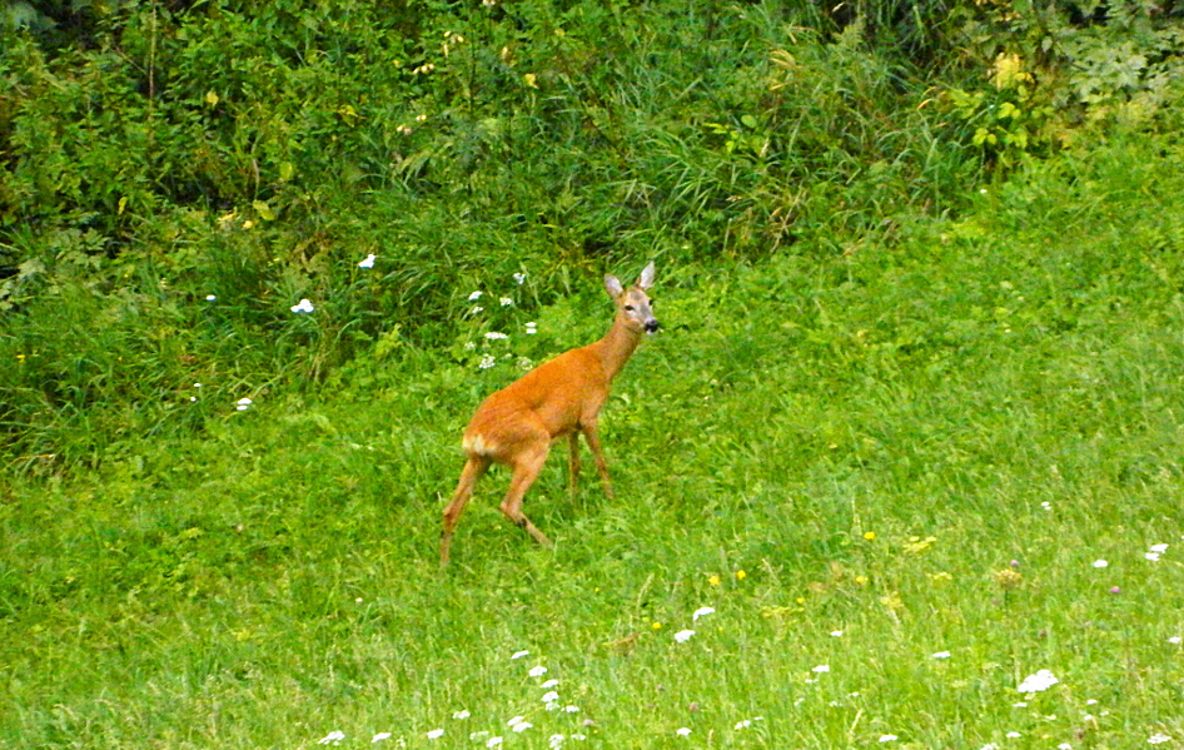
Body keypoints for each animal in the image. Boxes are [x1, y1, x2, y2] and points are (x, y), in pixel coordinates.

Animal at [440, 261, 658, 561]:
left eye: (650, 301)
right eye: (628, 306)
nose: (652, 324)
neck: (603, 363)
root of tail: (474, 437)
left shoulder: (571, 424)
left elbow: (575, 465)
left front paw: (574, 502)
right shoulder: (589, 414)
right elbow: (600, 461)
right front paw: (612, 499)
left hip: (478, 460)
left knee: (450, 510)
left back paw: (444, 565)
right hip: (532, 445)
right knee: (509, 504)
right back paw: (548, 543)